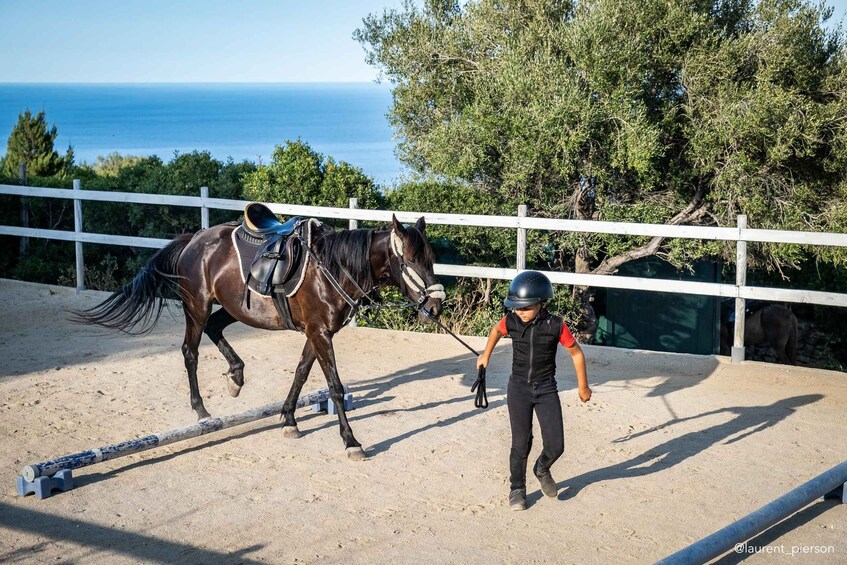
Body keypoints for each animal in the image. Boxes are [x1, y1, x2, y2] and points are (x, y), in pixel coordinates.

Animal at [73, 209, 444, 459]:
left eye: (431, 258)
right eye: (410, 260)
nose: (437, 305)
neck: (332, 268)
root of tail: (194, 239)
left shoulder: (316, 333)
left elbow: (301, 372)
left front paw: (288, 419)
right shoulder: (321, 333)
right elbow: (335, 387)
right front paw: (351, 441)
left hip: (230, 306)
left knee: (215, 329)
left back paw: (235, 377)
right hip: (196, 306)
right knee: (190, 352)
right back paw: (201, 410)